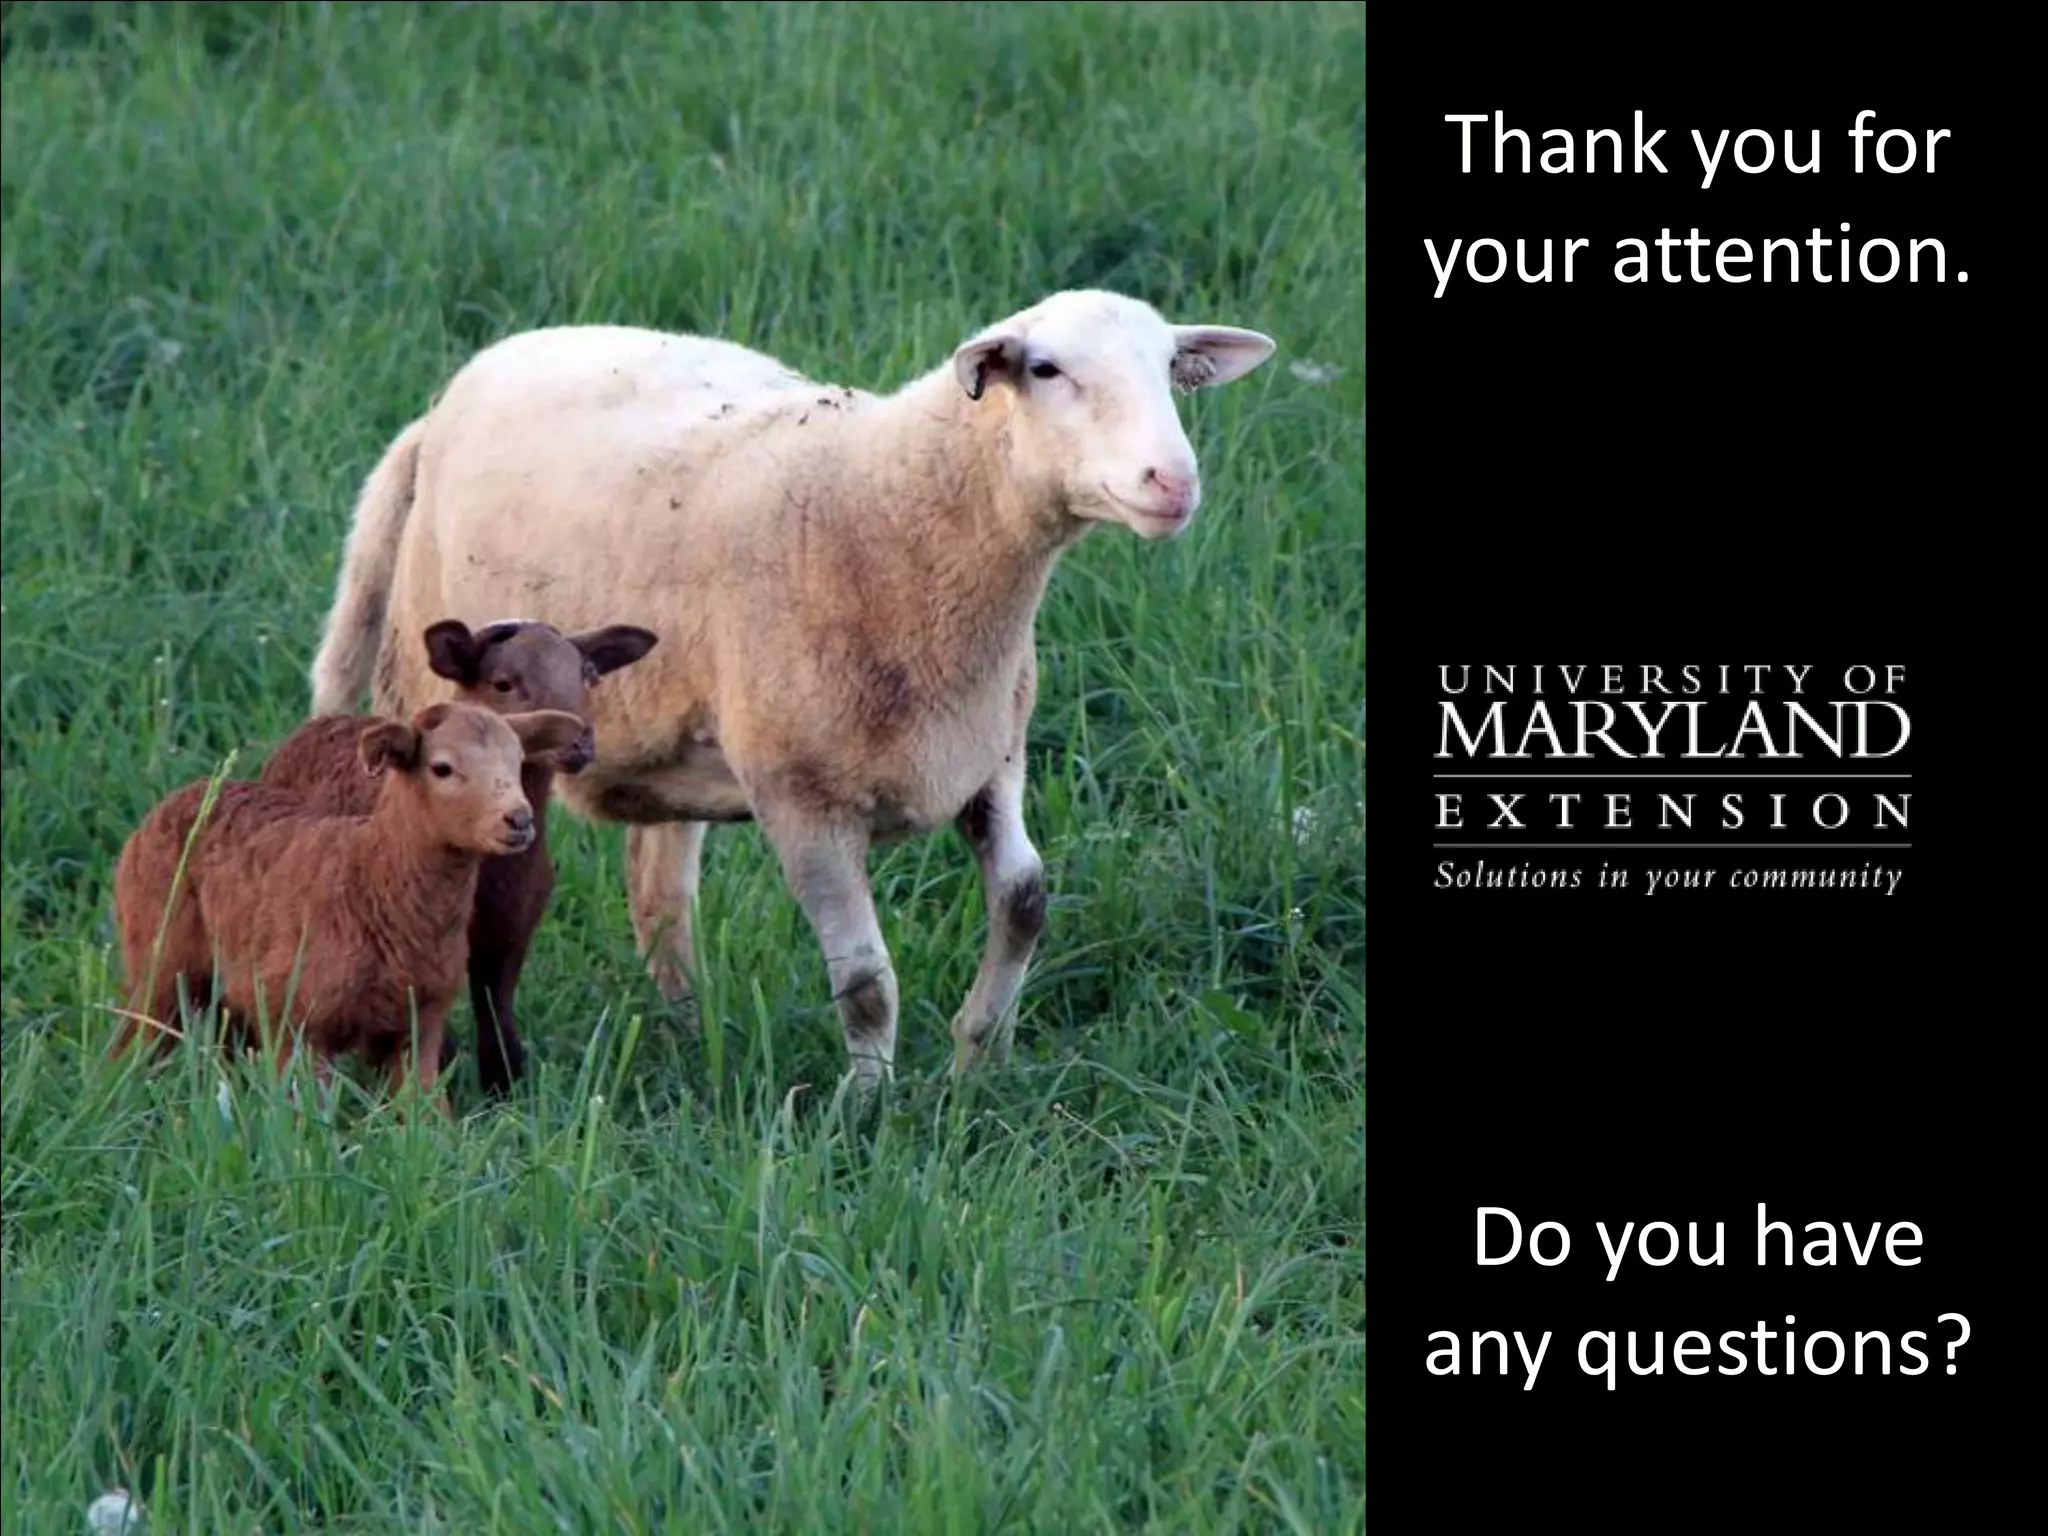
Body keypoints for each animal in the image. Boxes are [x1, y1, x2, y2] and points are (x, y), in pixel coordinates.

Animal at [112, 701, 586, 1100]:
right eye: (442, 768)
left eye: (519, 763)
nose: (519, 819)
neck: (370, 880)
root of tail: (196, 789)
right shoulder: (298, 1021)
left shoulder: (421, 1021)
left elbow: (425, 1114)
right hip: (158, 955)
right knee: (138, 1035)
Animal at [258, 617, 658, 1093]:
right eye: (503, 683)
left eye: (588, 676)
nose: (579, 742)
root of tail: (326, 721)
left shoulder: (510, 930)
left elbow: (496, 1012)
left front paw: (504, 1089)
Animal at [305, 288, 1277, 1093]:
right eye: (1045, 370)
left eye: (1170, 370)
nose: (1173, 482)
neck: (896, 511)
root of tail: (447, 401)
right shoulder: (801, 796)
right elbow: (867, 982)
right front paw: (868, 1109)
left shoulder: (986, 755)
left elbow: (1026, 900)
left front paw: (978, 1062)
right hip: (421, 674)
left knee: (658, 894)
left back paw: (689, 1033)